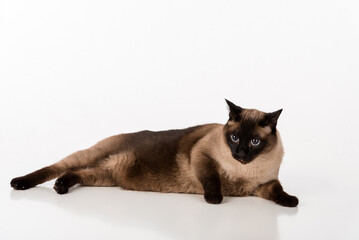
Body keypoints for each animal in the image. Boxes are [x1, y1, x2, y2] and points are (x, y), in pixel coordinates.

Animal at [9, 99, 300, 206]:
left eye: (255, 142)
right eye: (235, 137)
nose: (239, 153)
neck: (243, 171)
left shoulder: (264, 185)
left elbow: (278, 191)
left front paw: (291, 202)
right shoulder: (202, 158)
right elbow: (212, 180)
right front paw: (215, 199)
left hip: (104, 175)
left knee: (75, 173)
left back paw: (61, 187)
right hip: (93, 156)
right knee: (57, 166)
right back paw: (19, 183)